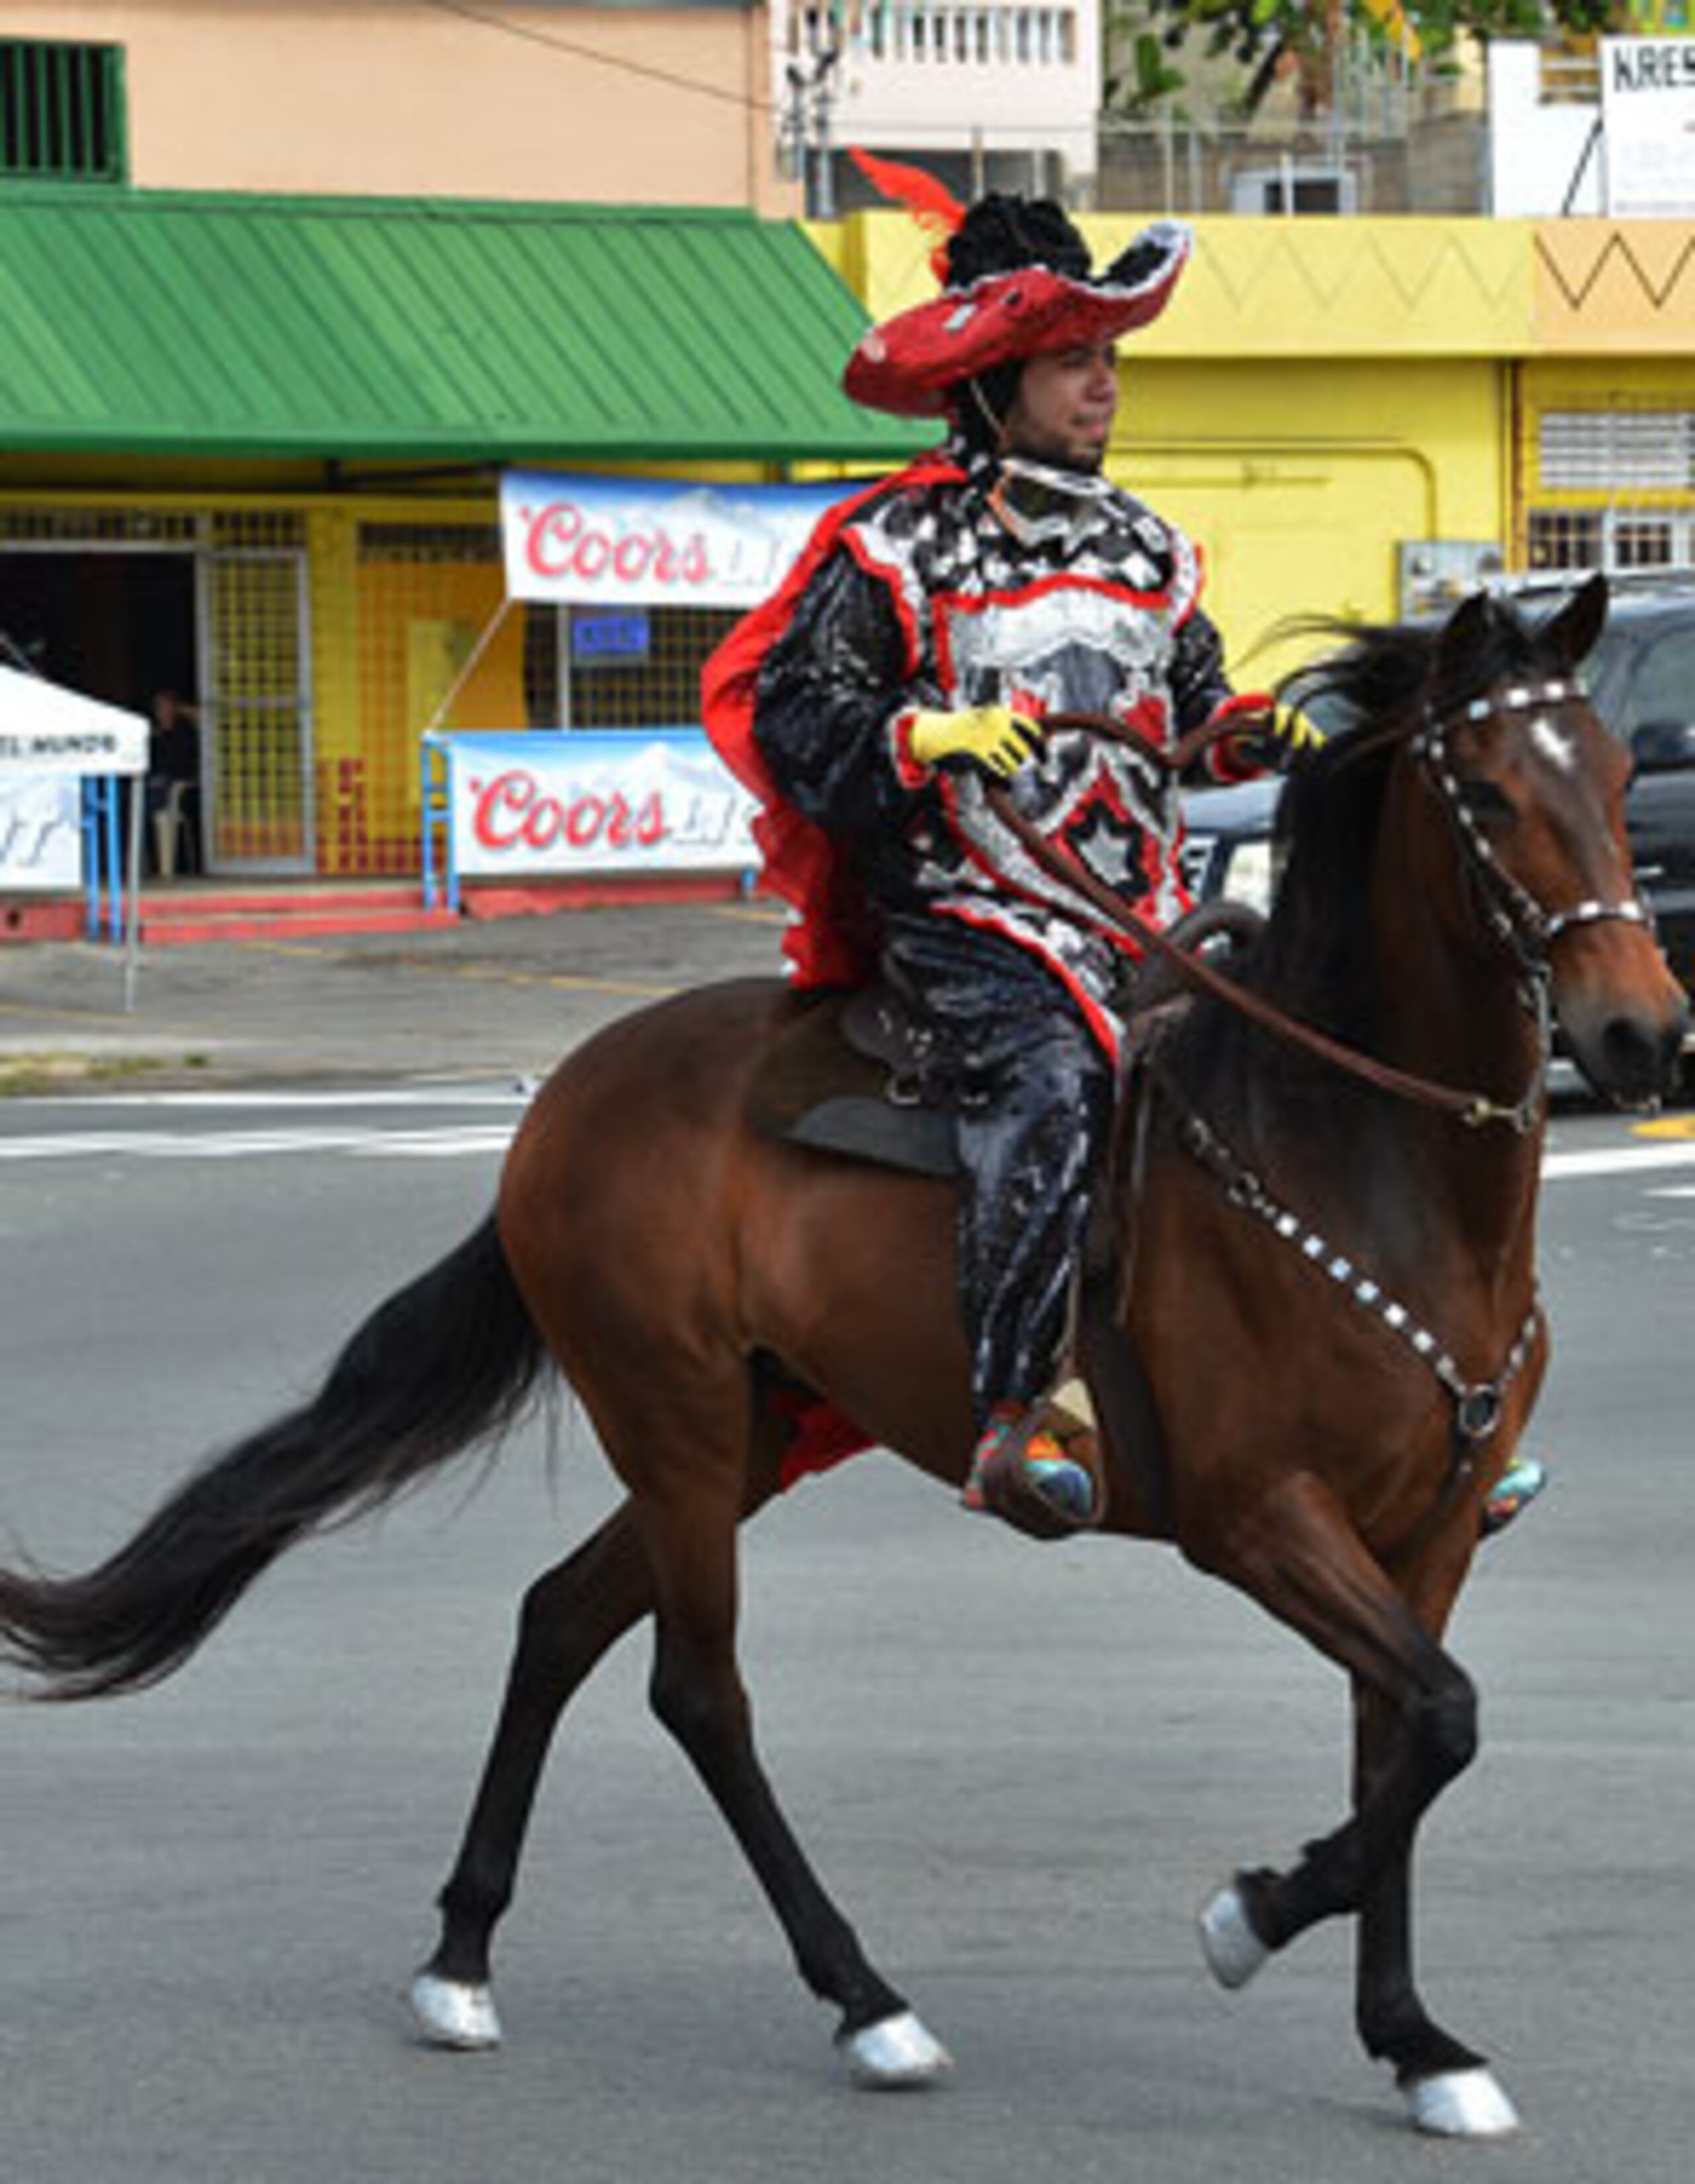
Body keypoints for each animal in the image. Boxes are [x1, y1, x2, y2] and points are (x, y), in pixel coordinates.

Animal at [0, 572, 1677, 2140]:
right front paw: (1244, 1915)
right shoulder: (1255, 1514)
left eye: (1607, 774)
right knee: (696, 1689)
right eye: (1488, 795)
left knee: (558, 1618)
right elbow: (1436, 1721)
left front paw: (1412, 2039)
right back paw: (865, 1998)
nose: (1641, 1035)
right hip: (673, 1417)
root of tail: (568, 1093)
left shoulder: (1428, 1531)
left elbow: (1402, 1739)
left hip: (748, 1429)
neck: (1354, 1161)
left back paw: (461, 1959)